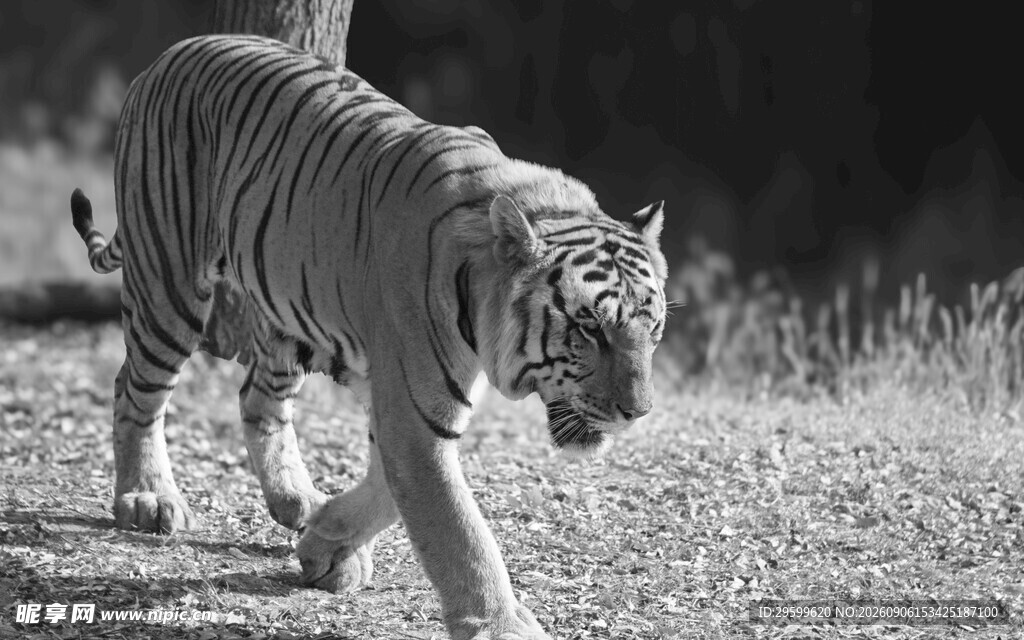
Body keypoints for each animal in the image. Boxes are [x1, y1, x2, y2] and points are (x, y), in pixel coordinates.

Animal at [70, 34, 668, 640]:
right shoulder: (415, 416)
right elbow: (459, 528)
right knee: (135, 390)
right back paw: (148, 498)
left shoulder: (408, 405)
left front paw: (326, 544)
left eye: (654, 327)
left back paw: (296, 499)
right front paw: (501, 624)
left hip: (287, 316)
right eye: (590, 327)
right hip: (169, 282)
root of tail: (171, 52)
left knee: (257, 400)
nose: (639, 412)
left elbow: (389, 490)